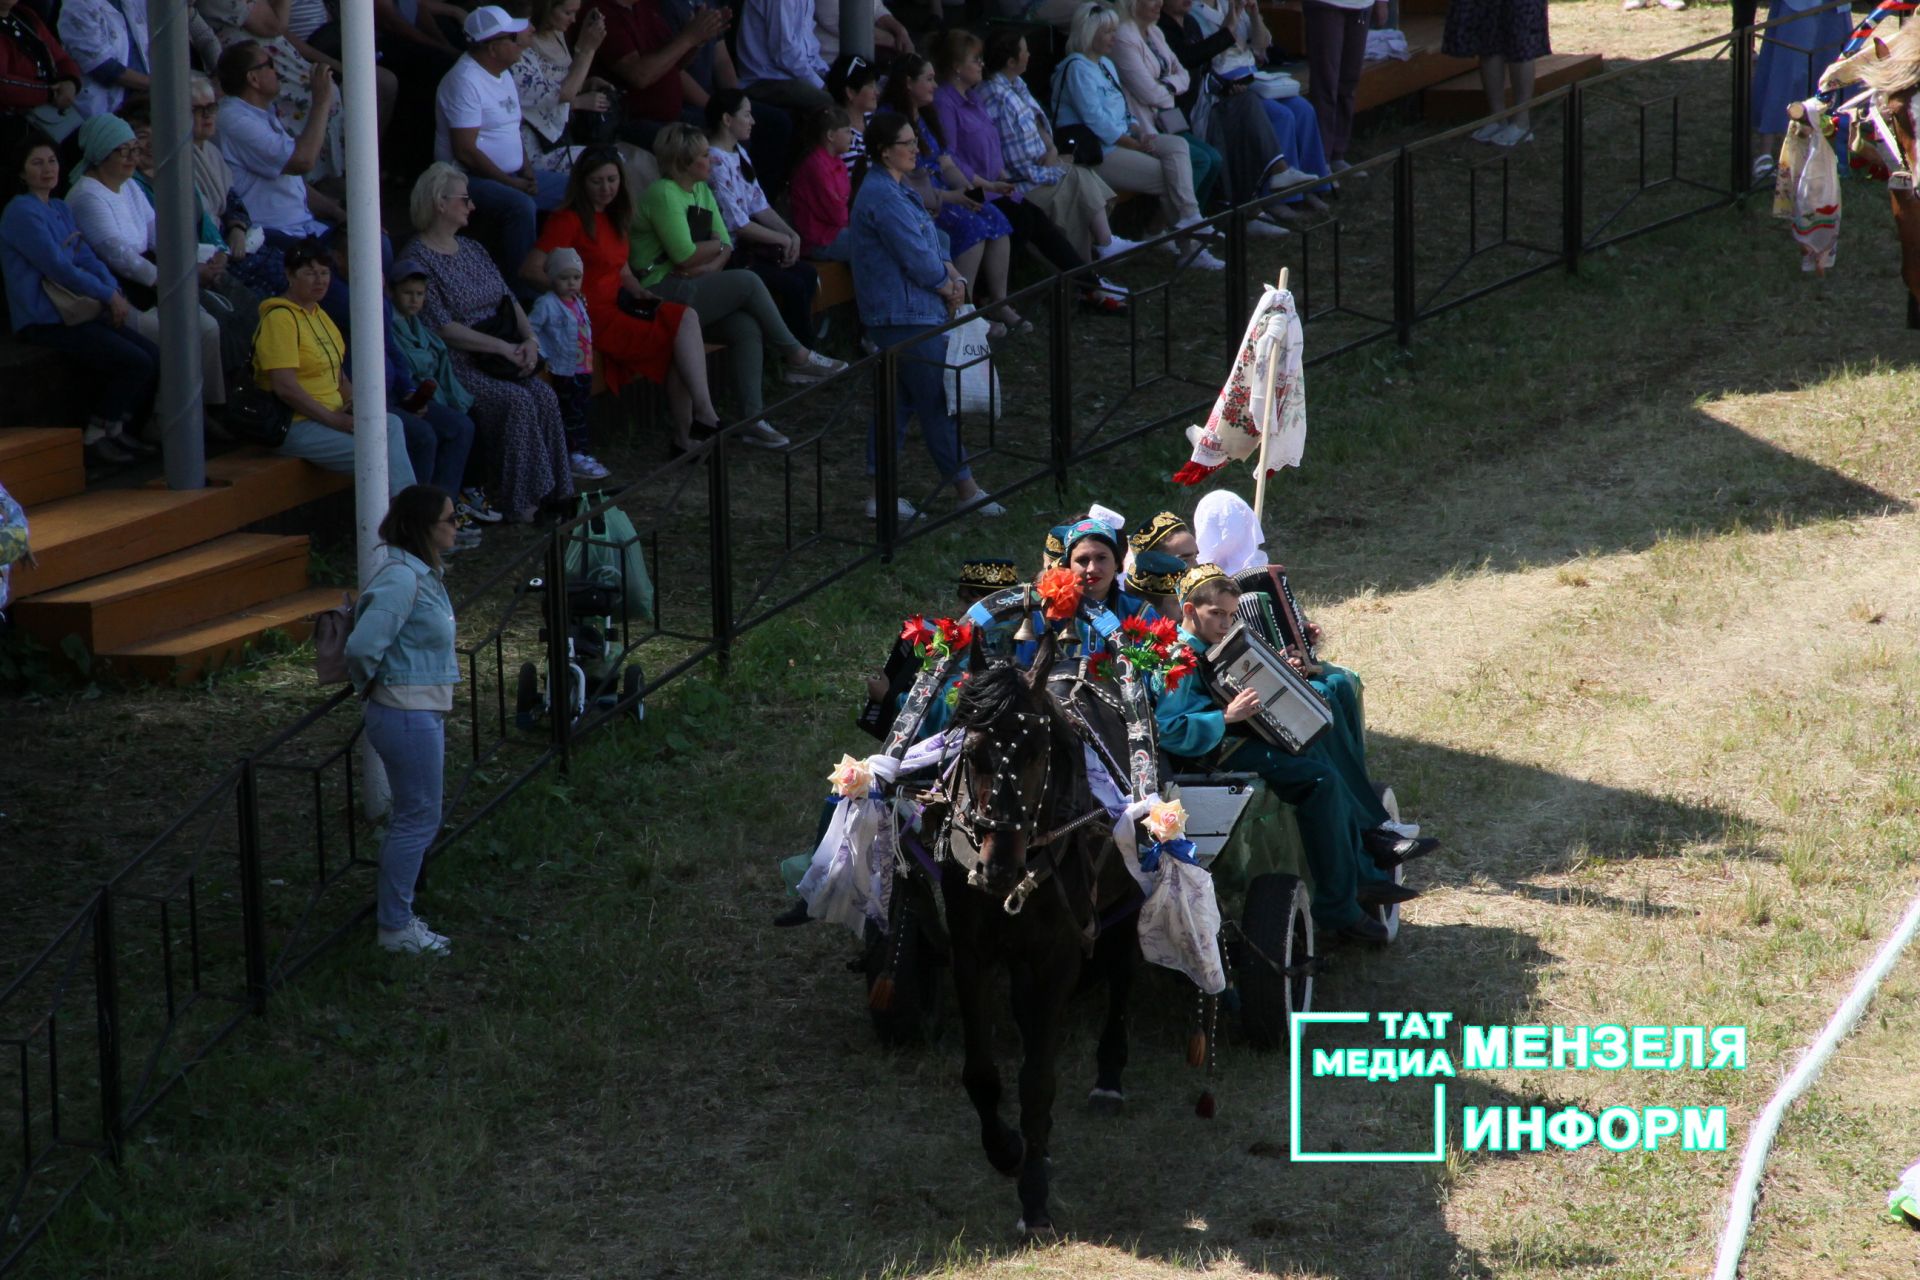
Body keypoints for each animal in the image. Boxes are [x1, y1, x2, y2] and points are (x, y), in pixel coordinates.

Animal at [940, 633, 1144, 1243]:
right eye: (972, 751)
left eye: (1034, 751)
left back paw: (1109, 1075)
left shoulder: (1058, 958)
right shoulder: (970, 952)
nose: (998, 868)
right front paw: (1008, 1149)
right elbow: (981, 1073)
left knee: (1122, 971)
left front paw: (1033, 1198)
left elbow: (1037, 1081)